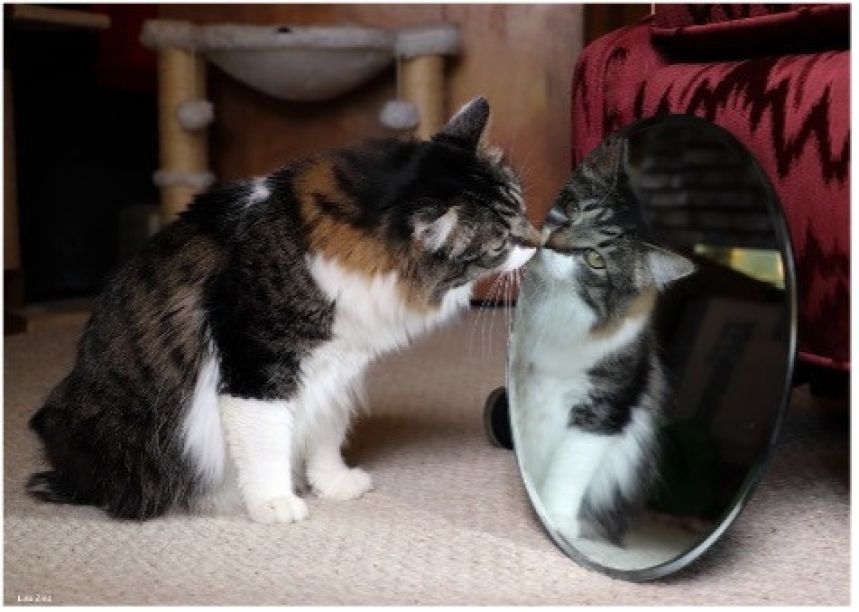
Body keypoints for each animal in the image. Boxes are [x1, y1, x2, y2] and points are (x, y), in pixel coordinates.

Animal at [31, 98, 544, 524]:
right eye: (502, 242)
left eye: (521, 207)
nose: (538, 242)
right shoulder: (256, 366)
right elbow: (266, 446)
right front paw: (275, 504)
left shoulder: (337, 372)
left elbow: (325, 436)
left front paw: (334, 484)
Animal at [508, 135, 696, 544]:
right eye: (571, 210)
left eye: (595, 259)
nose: (551, 244)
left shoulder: (604, 409)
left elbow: (569, 468)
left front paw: (556, 519)